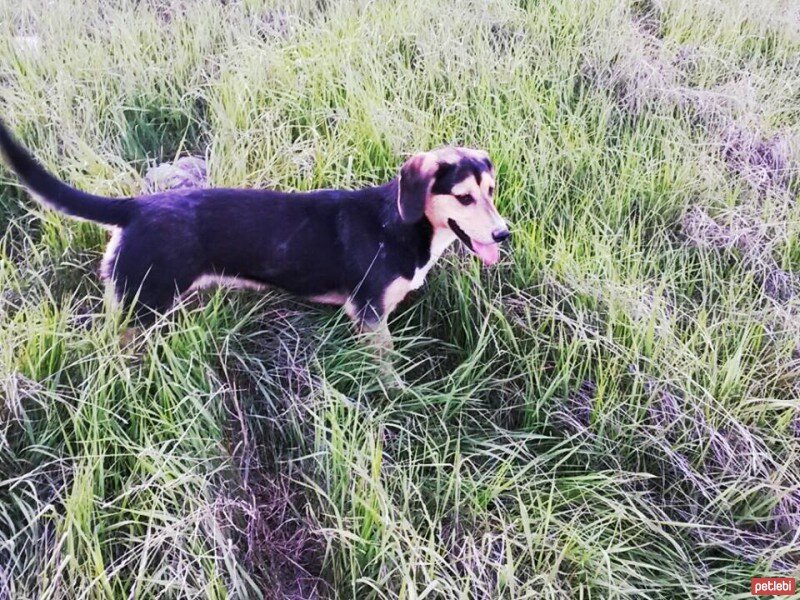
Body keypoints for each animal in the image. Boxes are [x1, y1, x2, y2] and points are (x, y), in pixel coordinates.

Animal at [0, 121, 512, 344]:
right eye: (463, 198)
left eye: (491, 190)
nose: (504, 235)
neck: (400, 223)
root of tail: (136, 208)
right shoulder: (369, 316)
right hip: (138, 309)